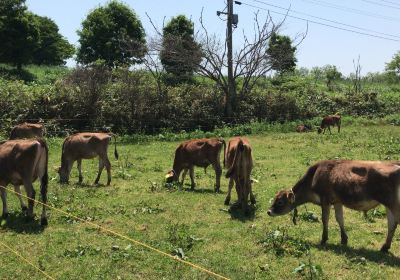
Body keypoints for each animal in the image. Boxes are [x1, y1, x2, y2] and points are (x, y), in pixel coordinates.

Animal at [268, 160, 400, 254]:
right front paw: (344, 239)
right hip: (389, 205)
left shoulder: (325, 200)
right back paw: (385, 247)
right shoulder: (337, 201)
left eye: (280, 202)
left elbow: (325, 219)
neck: (313, 178)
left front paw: (323, 239)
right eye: (275, 199)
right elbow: (339, 218)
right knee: (392, 224)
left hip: (393, 204)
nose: (268, 211)